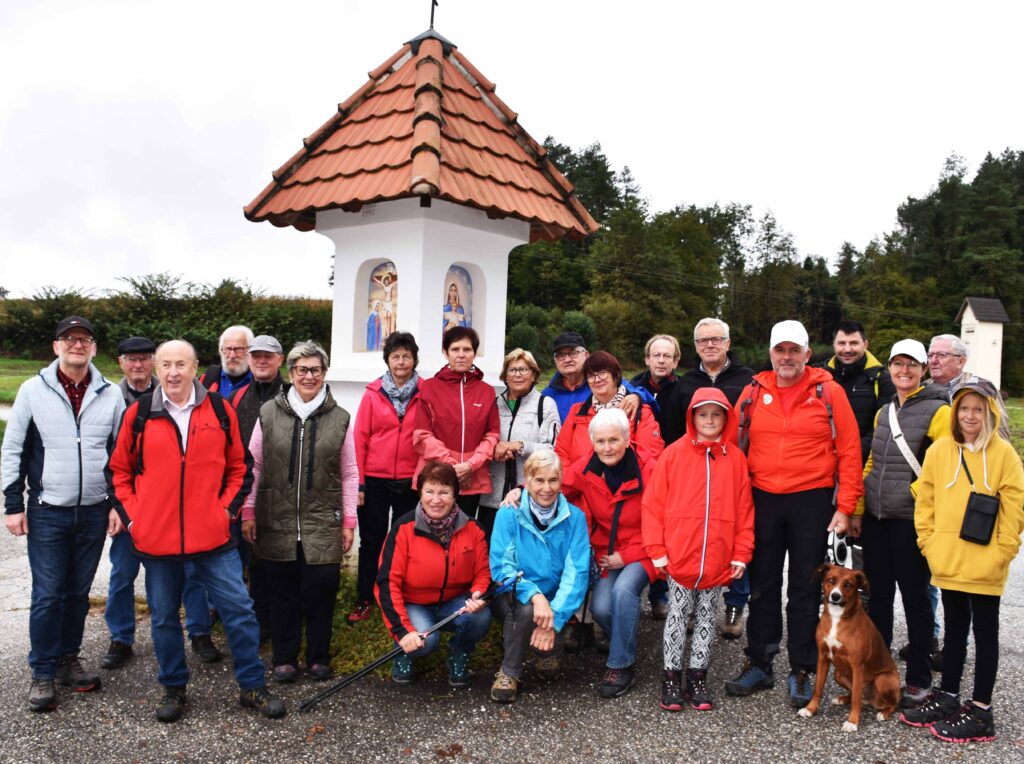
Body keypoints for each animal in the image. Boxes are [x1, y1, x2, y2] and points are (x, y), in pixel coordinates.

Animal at [794, 561, 901, 729]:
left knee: (892, 703)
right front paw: (810, 709)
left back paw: (884, 713)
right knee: (856, 695)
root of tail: (871, 700)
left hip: (883, 679)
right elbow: (818, 688)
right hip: (838, 674)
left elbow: (856, 698)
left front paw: (852, 722)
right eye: (831, 580)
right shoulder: (822, 658)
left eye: (848, 585)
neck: (837, 617)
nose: (835, 596)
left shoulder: (857, 666)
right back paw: (843, 699)